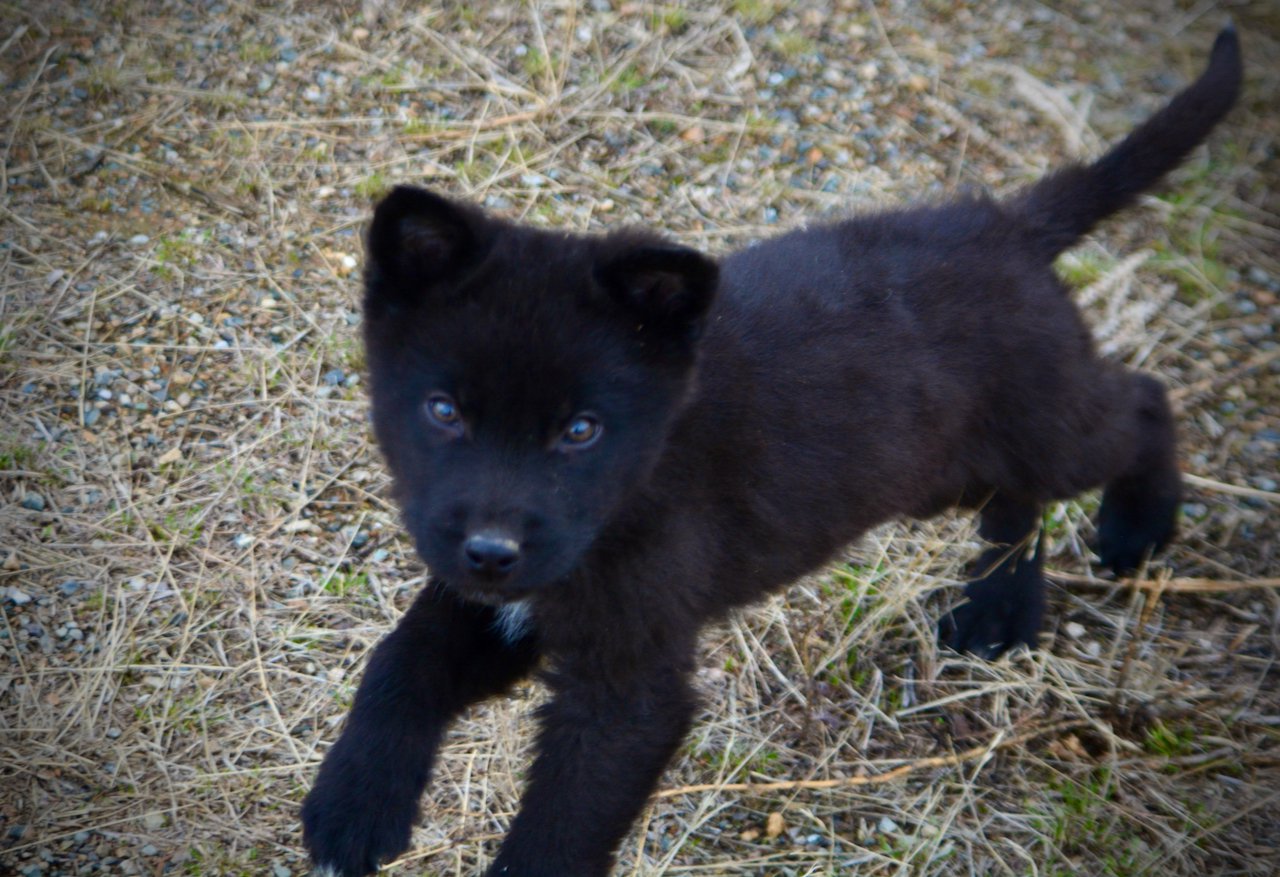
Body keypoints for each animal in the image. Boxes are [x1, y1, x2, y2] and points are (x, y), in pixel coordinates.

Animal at [299, 27, 1239, 875]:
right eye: (443, 410)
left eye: (581, 430)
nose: (492, 550)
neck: (638, 483)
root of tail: (1006, 226)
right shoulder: (501, 599)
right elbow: (399, 658)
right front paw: (353, 805)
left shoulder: (627, 684)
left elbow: (558, 829)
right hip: (941, 467)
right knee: (1020, 492)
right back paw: (999, 606)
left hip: (1037, 424)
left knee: (1139, 402)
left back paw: (1138, 527)